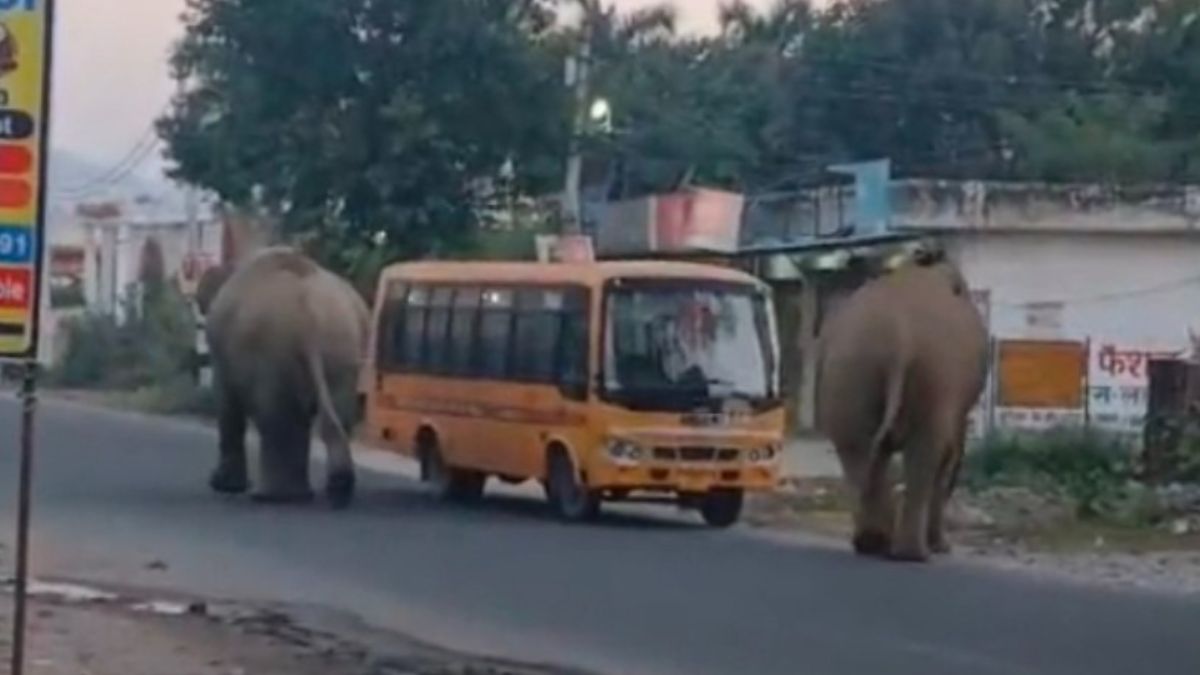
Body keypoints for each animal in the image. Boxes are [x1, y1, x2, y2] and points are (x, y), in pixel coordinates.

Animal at [195, 246, 371, 509]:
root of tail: (309, 315)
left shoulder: (221, 346)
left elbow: (226, 402)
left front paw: (223, 485)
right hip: (342, 350)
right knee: (338, 413)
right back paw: (336, 489)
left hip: (271, 350)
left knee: (277, 416)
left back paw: (272, 497)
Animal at [814, 252, 988, 562]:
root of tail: (898, 336)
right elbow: (945, 455)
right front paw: (942, 548)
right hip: (933, 372)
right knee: (925, 451)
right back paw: (913, 554)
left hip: (850, 370)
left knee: (857, 449)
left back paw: (872, 543)